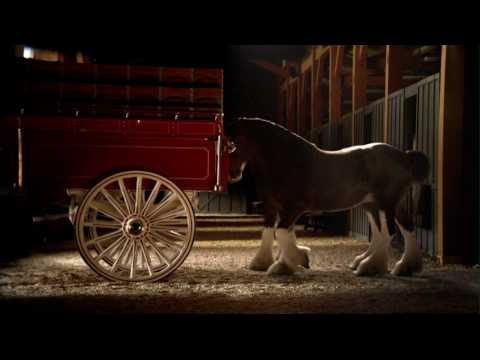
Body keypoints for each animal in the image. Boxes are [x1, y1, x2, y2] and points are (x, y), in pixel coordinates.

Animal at [225, 116, 432, 278]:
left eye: (231, 144)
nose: (232, 174)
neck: (289, 160)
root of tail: (404, 157)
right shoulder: (273, 207)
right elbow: (272, 232)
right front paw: (268, 262)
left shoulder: (294, 208)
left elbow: (282, 233)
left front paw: (294, 261)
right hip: (378, 205)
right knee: (401, 228)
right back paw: (404, 267)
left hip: (384, 204)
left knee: (388, 232)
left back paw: (370, 267)